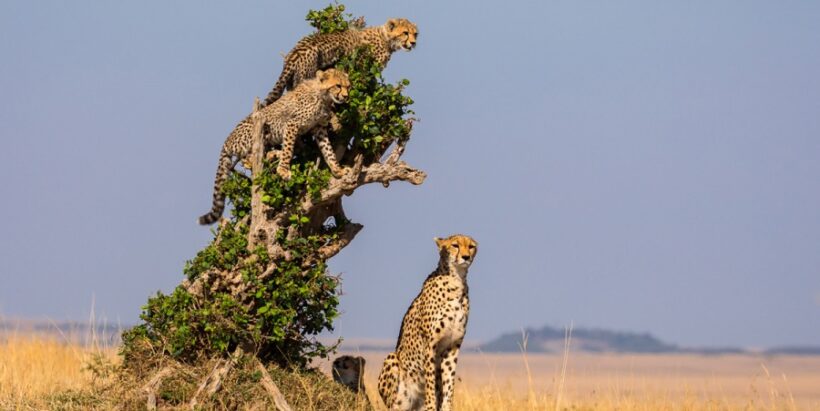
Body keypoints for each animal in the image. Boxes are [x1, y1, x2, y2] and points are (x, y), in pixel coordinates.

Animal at [198, 68, 351, 225]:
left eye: (348, 86)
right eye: (338, 86)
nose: (346, 96)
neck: (323, 96)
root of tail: (227, 140)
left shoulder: (319, 128)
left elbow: (328, 151)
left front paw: (337, 169)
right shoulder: (292, 124)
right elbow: (288, 149)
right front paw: (283, 170)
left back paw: (273, 154)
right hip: (259, 130)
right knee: (248, 157)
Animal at [261, 18, 418, 107]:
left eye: (415, 34)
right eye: (405, 33)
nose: (414, 43)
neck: (386, 38)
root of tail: (294, 53)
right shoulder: (365, 69)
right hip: (305, 76)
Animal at [378, 234, 478, 411]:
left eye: (471, 246)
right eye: (455, 245)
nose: (466, 257)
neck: (457, 280)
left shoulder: (452, 346)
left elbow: (448, 383)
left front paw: (446, 406)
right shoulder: (430, 344)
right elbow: (430, 382)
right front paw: (432, 405)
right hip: (393, 361)